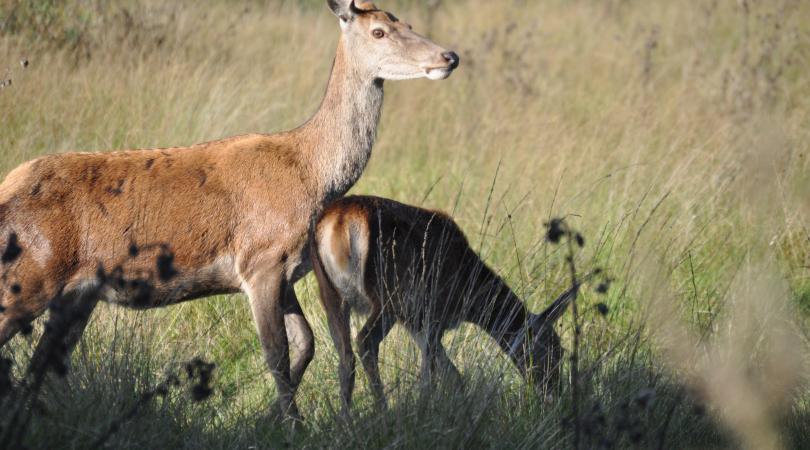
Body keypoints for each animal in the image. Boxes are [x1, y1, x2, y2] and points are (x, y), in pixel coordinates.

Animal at [0, 0, 459, 421]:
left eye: (408, 22)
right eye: (379, 31)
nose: (448, 56)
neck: (311, 174)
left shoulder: (285, 269)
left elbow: (306, 343)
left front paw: (270, 419)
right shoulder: (260, 259)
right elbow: (277, 353)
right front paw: (291, 426)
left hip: (76, 295)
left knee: (41, 363)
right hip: (31, 275)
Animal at [309, 195, 579, 416]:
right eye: (553, 349)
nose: (555, 394)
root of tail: (338, 222)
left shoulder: (416, 323)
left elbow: (454, 375)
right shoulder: (432, 314)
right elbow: (431, 375)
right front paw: (424, 407)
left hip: (330, 295)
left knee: (346, 357)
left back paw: (346, 420)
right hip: (389, 296)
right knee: (366, 340)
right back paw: (383, 411)